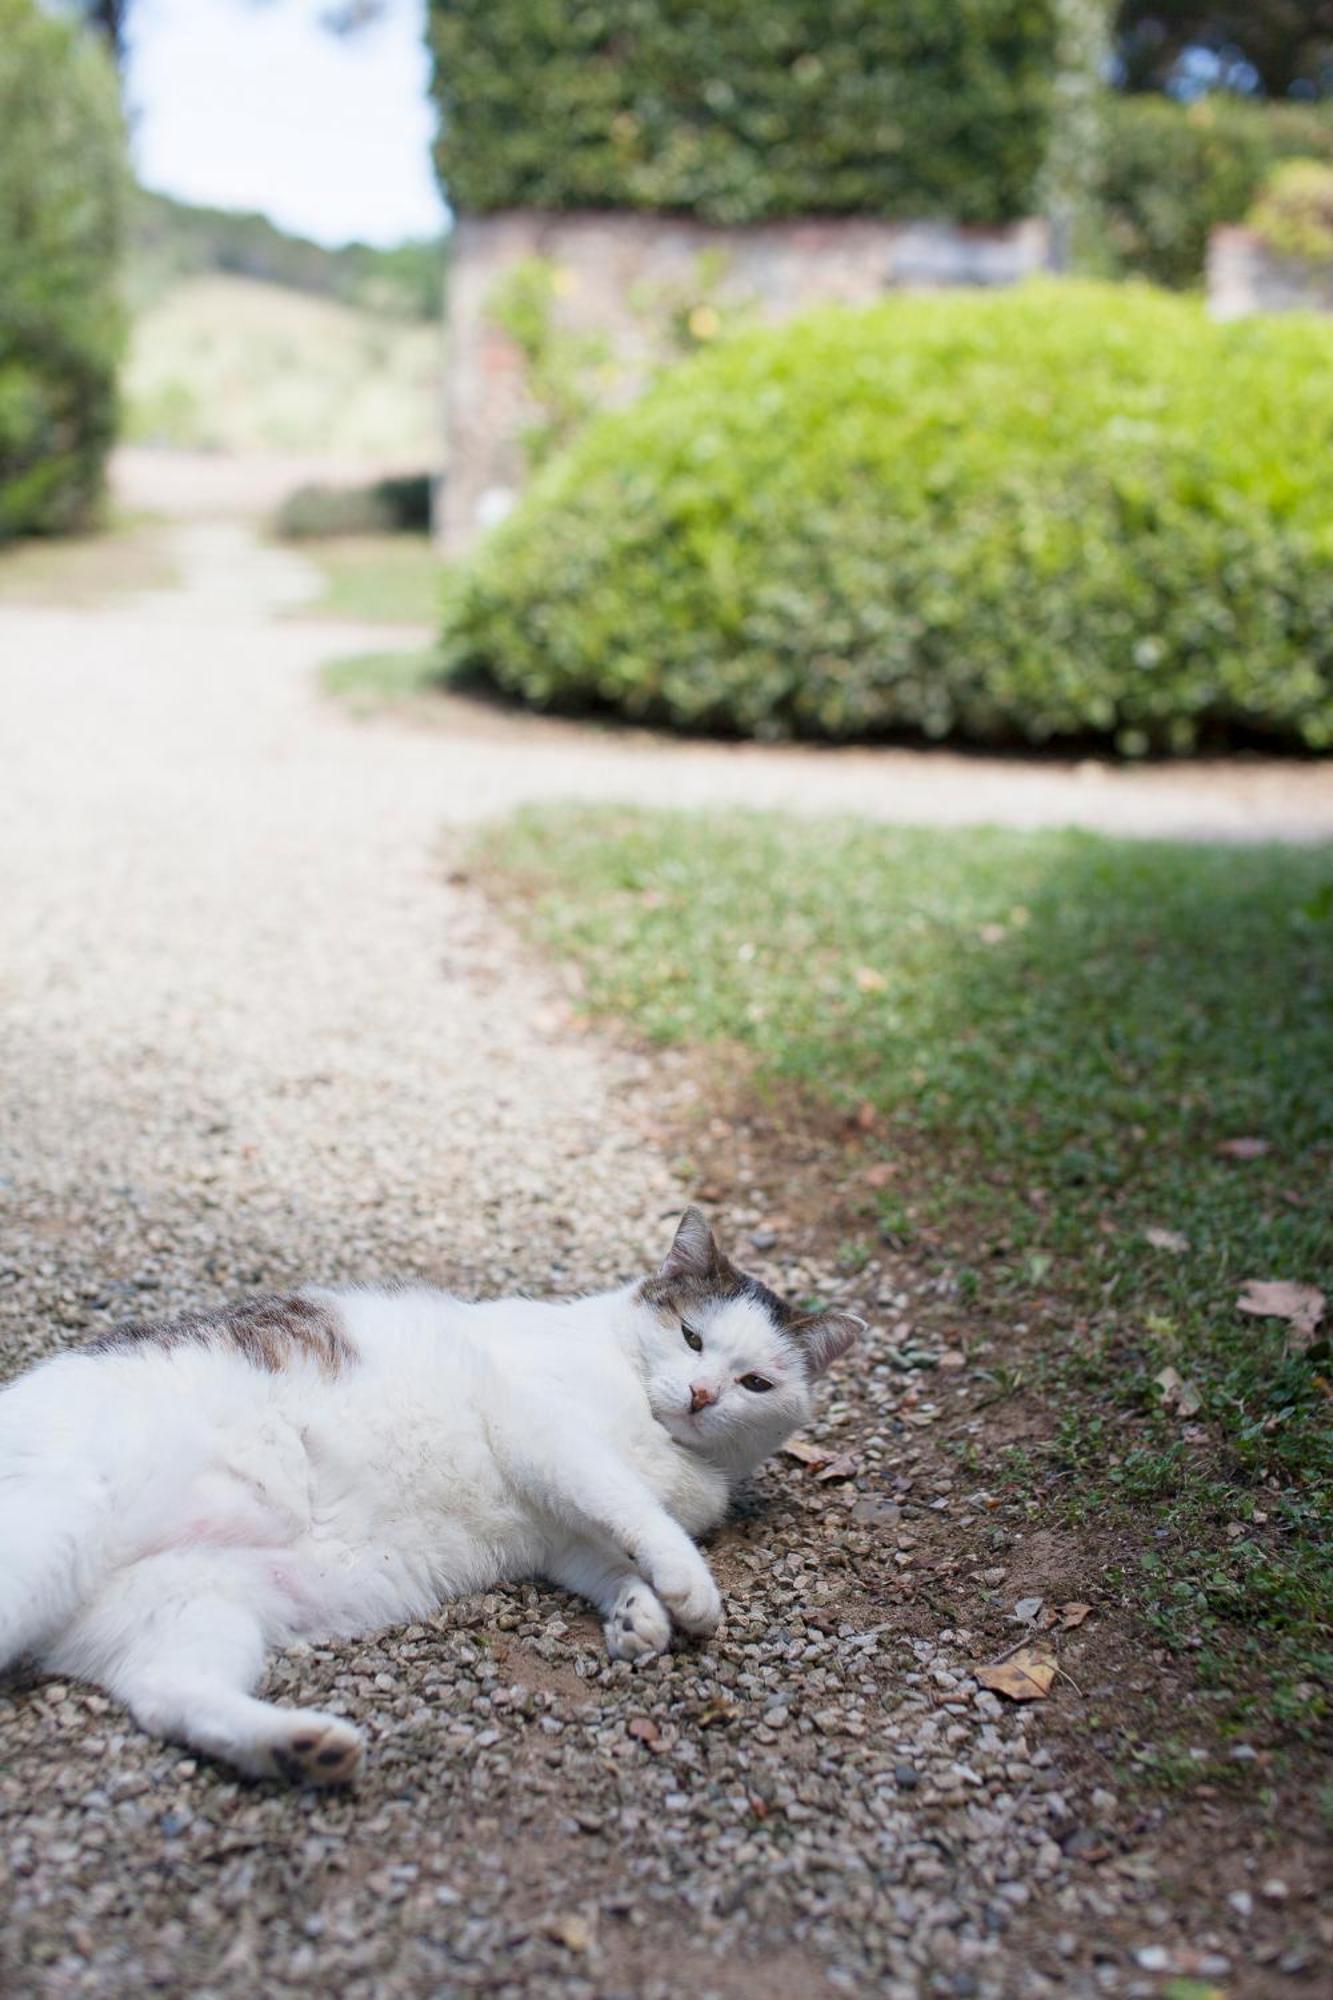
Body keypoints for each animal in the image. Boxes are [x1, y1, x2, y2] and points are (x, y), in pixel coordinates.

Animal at [0, 1200, 856, 1784]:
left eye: (755, 1383)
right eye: (690, 1337)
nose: (704, 1395)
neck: (672, 1447)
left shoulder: (561, 1534)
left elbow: (609, 1557)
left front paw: (636, 1615)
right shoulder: (548, 1436)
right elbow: (636, 1512)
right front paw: (685, 1589)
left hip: (193, 1608)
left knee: (168, 1695)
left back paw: (300, 1749)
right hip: (62, 1529)